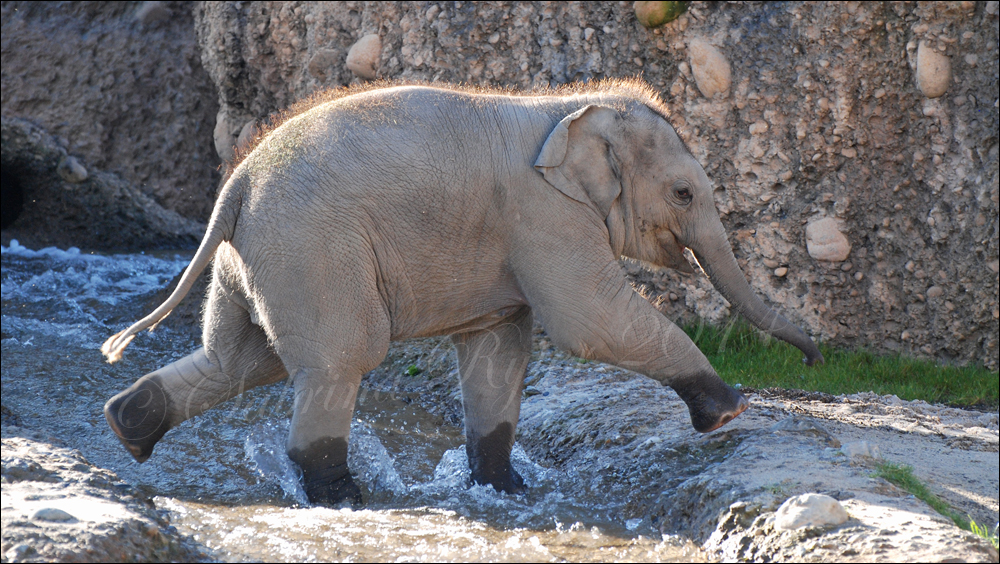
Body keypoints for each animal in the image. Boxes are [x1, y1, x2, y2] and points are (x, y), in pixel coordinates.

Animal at [101, 78, 824, 502]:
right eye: (682, 194)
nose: (815, 355)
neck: (571, 108)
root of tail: (237, 183)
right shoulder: (542, 213)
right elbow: (589, 323)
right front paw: (728, 412)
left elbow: (498, 349)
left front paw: (507, 490)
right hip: (313, 248)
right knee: (341, 357)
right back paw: (345, 500)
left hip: (261, 258)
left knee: (242, 358)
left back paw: (127, 427)